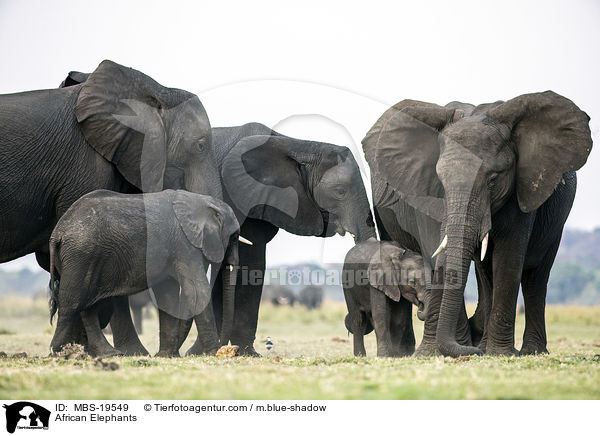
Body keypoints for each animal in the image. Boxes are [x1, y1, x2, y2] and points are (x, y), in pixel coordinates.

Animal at [49, 190, 240, 358]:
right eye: (235, 237)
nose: (229, 350)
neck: (201, 200)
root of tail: (57, 232)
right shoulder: (185, 245)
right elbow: (197, 291)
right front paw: (214, 353)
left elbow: (167, 295)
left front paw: (167, 356)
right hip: (80, 254)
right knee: (72, 302)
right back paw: (58, 353)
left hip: (82, 258)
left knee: (87, 306)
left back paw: (109, 354)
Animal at [364, 91, 592, 358]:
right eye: (440, 179)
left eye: (493, 180)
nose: (472, 350)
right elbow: (435, 251)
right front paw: (441, 352)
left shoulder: (521, 185)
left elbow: (509, 257)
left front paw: (500, 353)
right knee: (486, 272)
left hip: (556, 222)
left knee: (535, 275)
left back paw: (529, 351)